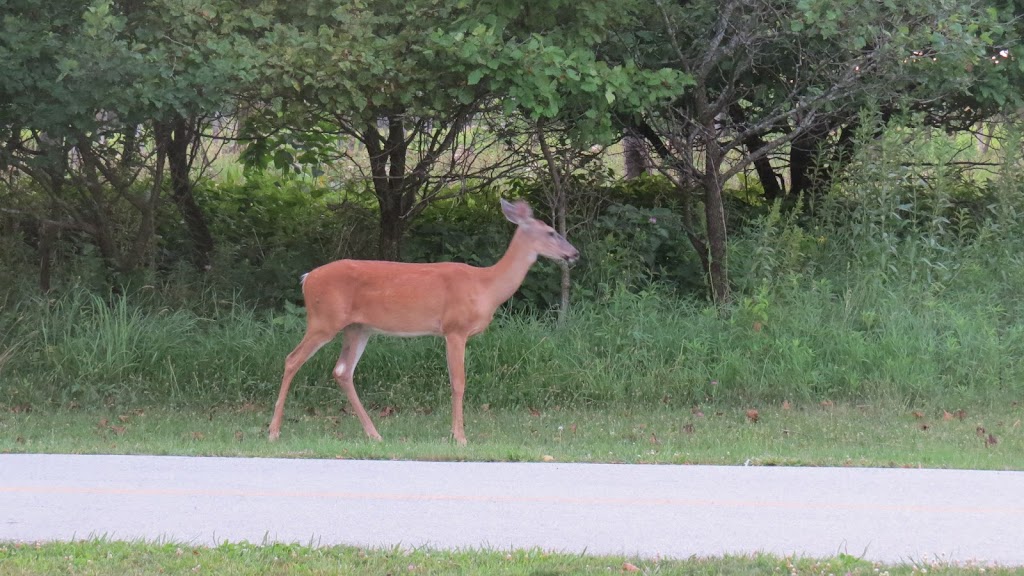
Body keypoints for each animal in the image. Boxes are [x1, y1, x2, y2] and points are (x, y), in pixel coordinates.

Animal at [268, 196, 581, 444]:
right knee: (292, 359)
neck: (486, 287)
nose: (574, 253)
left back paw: (374, 433)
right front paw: (460, 437)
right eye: (551, 232)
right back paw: (274, 431)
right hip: (324, 319)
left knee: (342, 370)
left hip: (358, 327)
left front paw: (456, 433)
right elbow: (458, 382)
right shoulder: (455, 329)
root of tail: (307, 279)